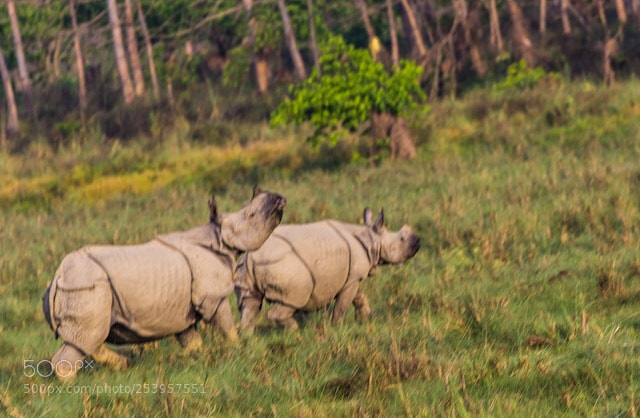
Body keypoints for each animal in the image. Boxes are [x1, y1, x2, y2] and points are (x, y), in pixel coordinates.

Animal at [42, 187, 286, 379]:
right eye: (251, 215)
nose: (279, 198)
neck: (218, 237)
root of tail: (58, 276)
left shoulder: (184, 309)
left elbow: (192, 340)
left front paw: (189, 358)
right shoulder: (213, 297)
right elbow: (227, 327)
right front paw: (238, 349)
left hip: (81, 287)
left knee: (87, 338)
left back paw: (123, 364)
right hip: (87, 287)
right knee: (87, 337)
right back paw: (72, 384)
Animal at [234, 208, 420, 332]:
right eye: (401, 239)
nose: (418, 241)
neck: (372, 238)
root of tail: (252, 257)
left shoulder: (351, 277)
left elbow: (359, 296)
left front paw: (365, 317)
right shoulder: (353, 278)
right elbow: (343, 304)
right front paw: (337, 327)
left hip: (244, 268)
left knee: (250, 303)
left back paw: (248, 337)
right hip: (285, 266)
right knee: (294, 299)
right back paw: (295, 330)